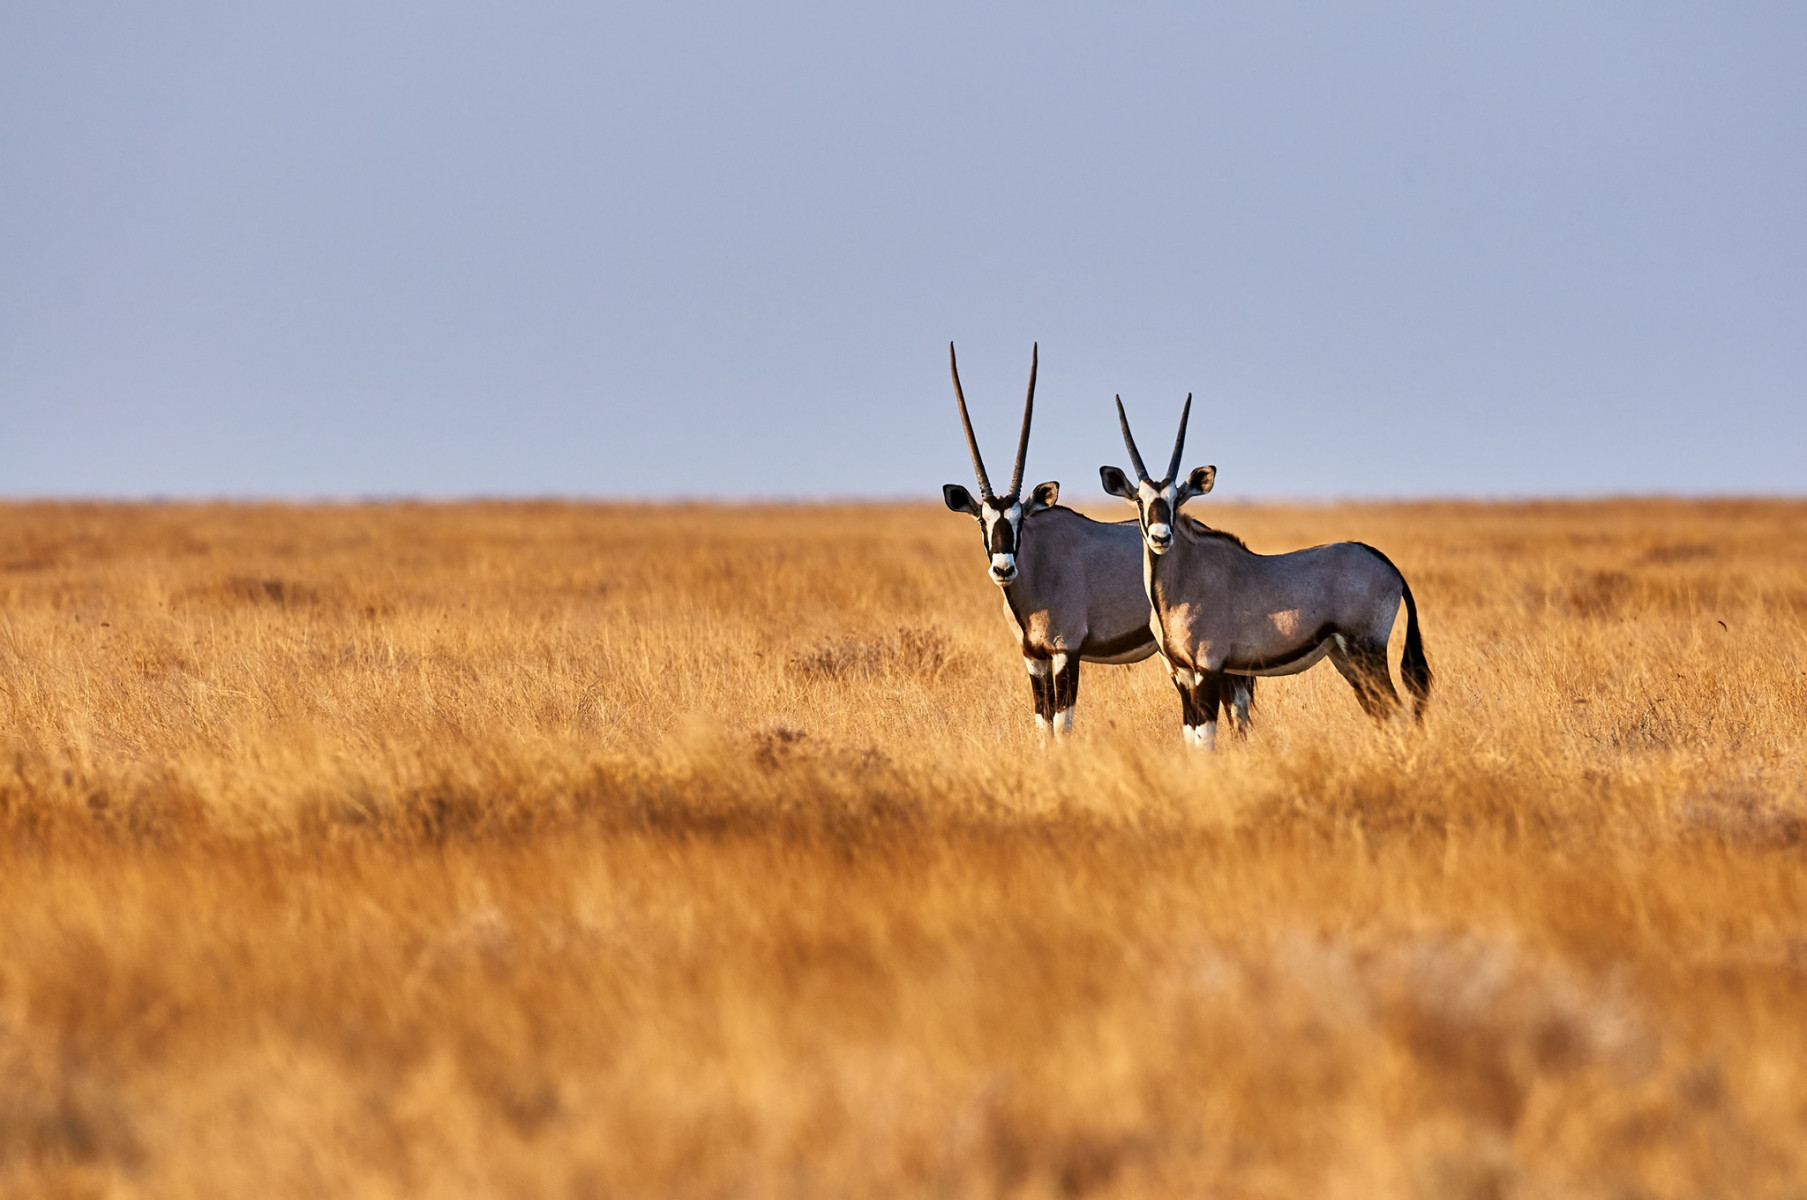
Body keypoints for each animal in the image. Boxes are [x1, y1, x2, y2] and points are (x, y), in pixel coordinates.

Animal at [939, 341, 1250, 737]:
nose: (1003, 568)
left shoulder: (1066, 651)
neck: (1036, 568)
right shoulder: (1033, 658)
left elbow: (1062, 722)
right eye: (983, 519)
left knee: (1237, 704)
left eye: (1020, 519)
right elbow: (1043, 723)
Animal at [1098, 393, 1423, 751]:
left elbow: (1206, 740)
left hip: (1367, 651)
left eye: (1176, 500)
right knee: (1381, 713)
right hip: (1346, 657)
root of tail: (1387, 566)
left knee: (1396, 712)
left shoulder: (1209, 668)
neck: (1179, 585)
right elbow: (1191, 738)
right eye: (1139, 500)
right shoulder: (1180, 673)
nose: (1160, 537)